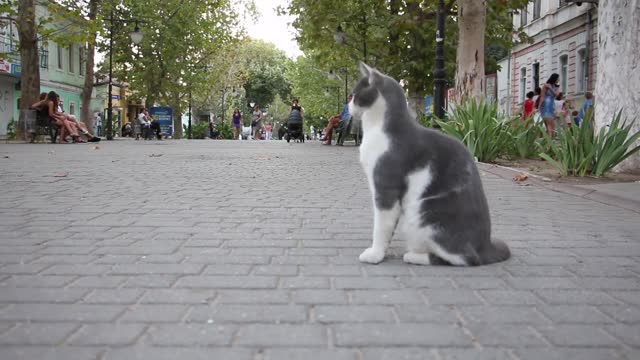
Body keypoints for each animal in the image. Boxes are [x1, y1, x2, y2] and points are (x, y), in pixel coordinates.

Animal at [350, 64, 510, 266]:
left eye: (354, 94)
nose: (348, 106)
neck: (377, 128)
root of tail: (485, 246)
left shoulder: (385, 188)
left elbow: (381, 226)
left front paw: (375, 254)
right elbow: (389, 227)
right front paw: (383, 252)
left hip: (423, 216)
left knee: (464, 258)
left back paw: (412, 256)